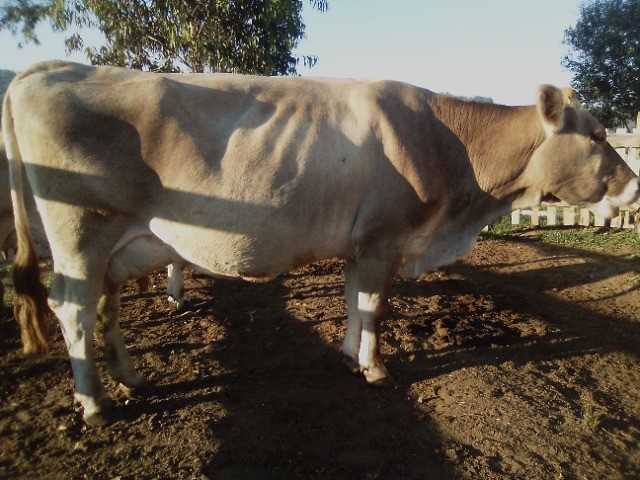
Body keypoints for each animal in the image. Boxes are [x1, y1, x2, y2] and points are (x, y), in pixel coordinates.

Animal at [2, 61, 636, 428]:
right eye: (598, 134)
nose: (633, 186)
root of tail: (52, 69)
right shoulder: (384, 239)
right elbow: (375, 308)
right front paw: (375, 369)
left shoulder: (362, 246)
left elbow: (355, 302)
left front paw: (349, 354)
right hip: (80, 233)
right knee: (73, 310)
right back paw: (93, 405)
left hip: (116, 244)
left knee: (105, 306)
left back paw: (129, 378)